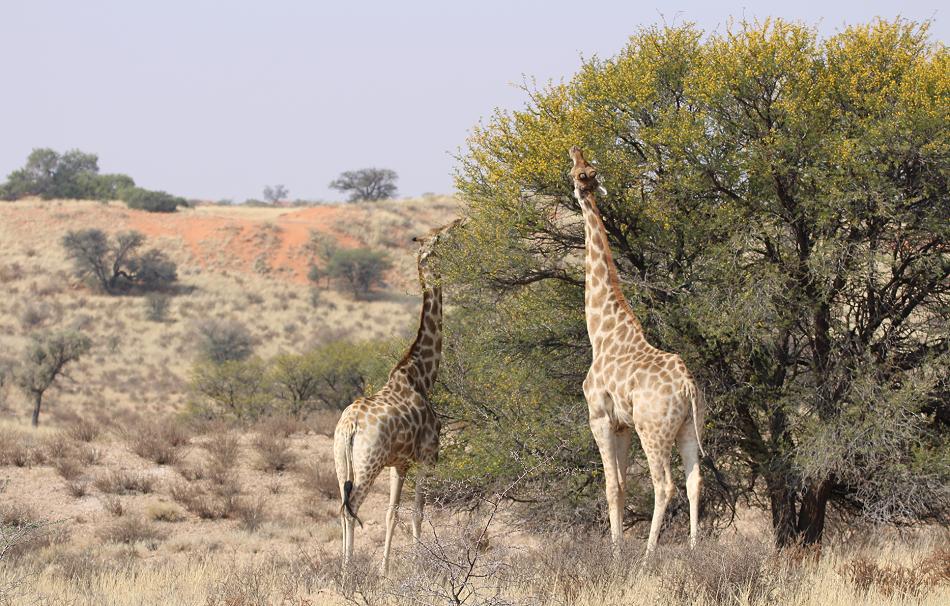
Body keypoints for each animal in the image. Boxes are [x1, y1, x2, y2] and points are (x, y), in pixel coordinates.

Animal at [334, 217, 464, 576]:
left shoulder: (399, 464)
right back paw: (348, 572)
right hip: (368, 463)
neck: (423, 376)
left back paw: (345, 570)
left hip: (340, 464)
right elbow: (418, 511)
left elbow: (392, 513)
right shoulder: (427, 457)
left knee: (341, 507)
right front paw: (419, 564)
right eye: (443, 237)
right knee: (351, 507)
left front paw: (385, 570)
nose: (460, 221)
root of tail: (349, 427)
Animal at [564, 147, 708, 556]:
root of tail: (688, 388)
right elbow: (625, 485)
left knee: (665, 485)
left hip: (654, 429)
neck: (601, 332)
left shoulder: (598, 416)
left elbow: (612, 486)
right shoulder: (622, 423)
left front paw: (615, 554)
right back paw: (695, 551)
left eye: (580, 173)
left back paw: (647, 555)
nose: (574, 154)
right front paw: (617, 546)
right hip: (689, 426)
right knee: (695, 481)